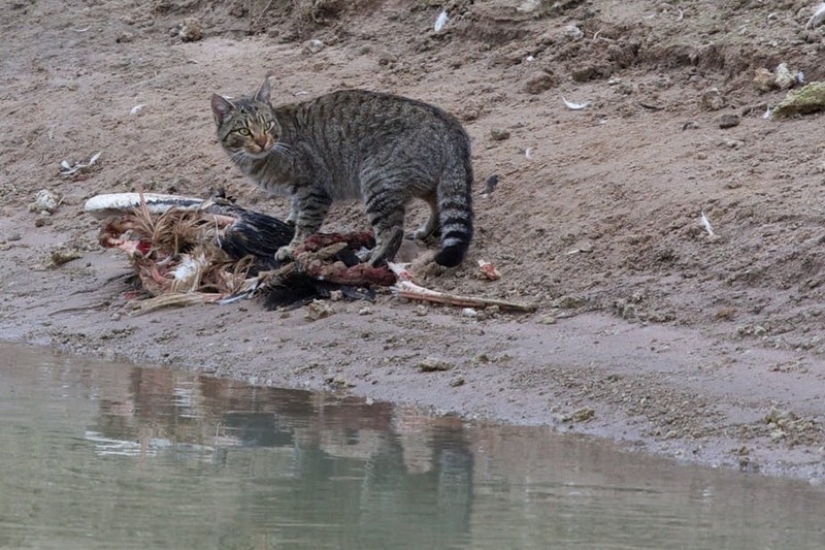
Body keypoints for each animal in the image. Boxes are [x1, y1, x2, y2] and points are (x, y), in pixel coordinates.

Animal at [209, 77, 474, 268]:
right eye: (244, 131)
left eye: (266, 125)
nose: (262, 141)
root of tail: (449, 123)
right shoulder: (299, 192)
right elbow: (296, 210)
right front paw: (290, 219)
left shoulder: (313, 190)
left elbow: (306, 224)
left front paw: (293, 247)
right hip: (420, 180)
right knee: (438, 204)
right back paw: (427, 230)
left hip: (376, 179)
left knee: (392, 230)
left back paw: (375, 256)